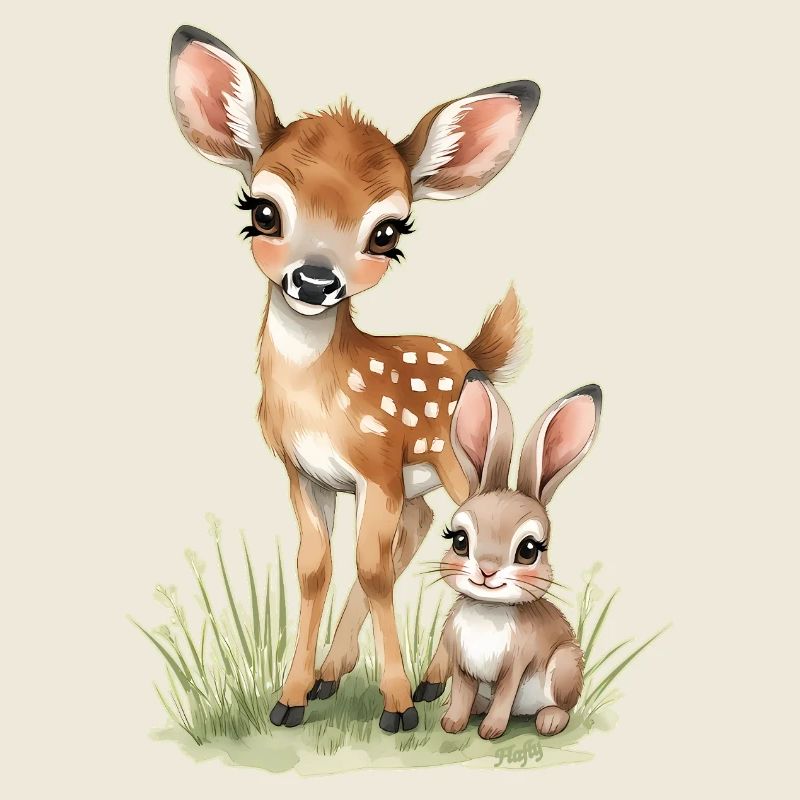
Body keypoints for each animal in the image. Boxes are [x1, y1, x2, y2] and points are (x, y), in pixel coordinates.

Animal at [433, 370, 602, 740]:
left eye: (529, 550)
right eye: (459, 540)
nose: (487, 570)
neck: (488, 609)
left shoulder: (516, 666)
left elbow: (504, 696)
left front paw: (491, 731)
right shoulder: (462, 665)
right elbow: (462, 693)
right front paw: (452, 723)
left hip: (565, 664)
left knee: (561, 707)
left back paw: (549, 721)